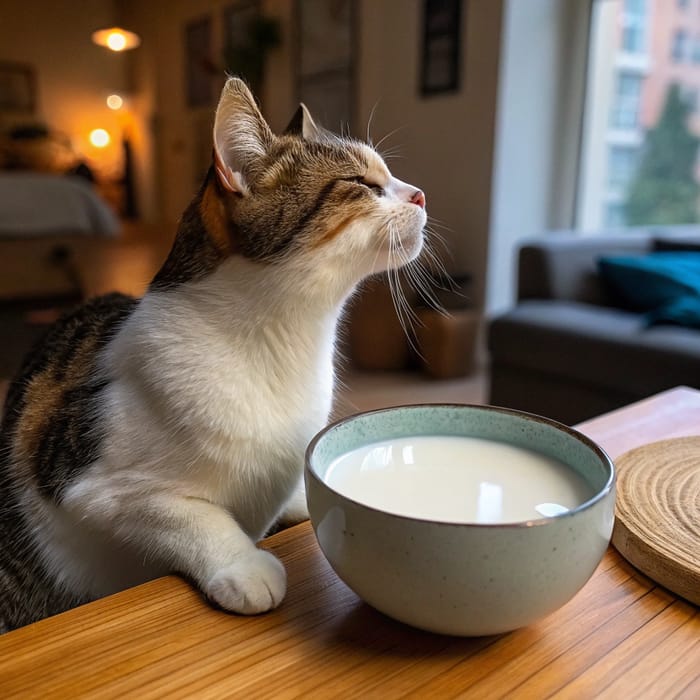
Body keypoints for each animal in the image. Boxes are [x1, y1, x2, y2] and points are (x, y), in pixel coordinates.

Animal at [0, 78, 426, 636]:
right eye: (362, 182)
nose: (420, 193)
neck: (282, 341)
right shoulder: (95, 489)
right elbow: (188, 513)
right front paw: (242, 562)